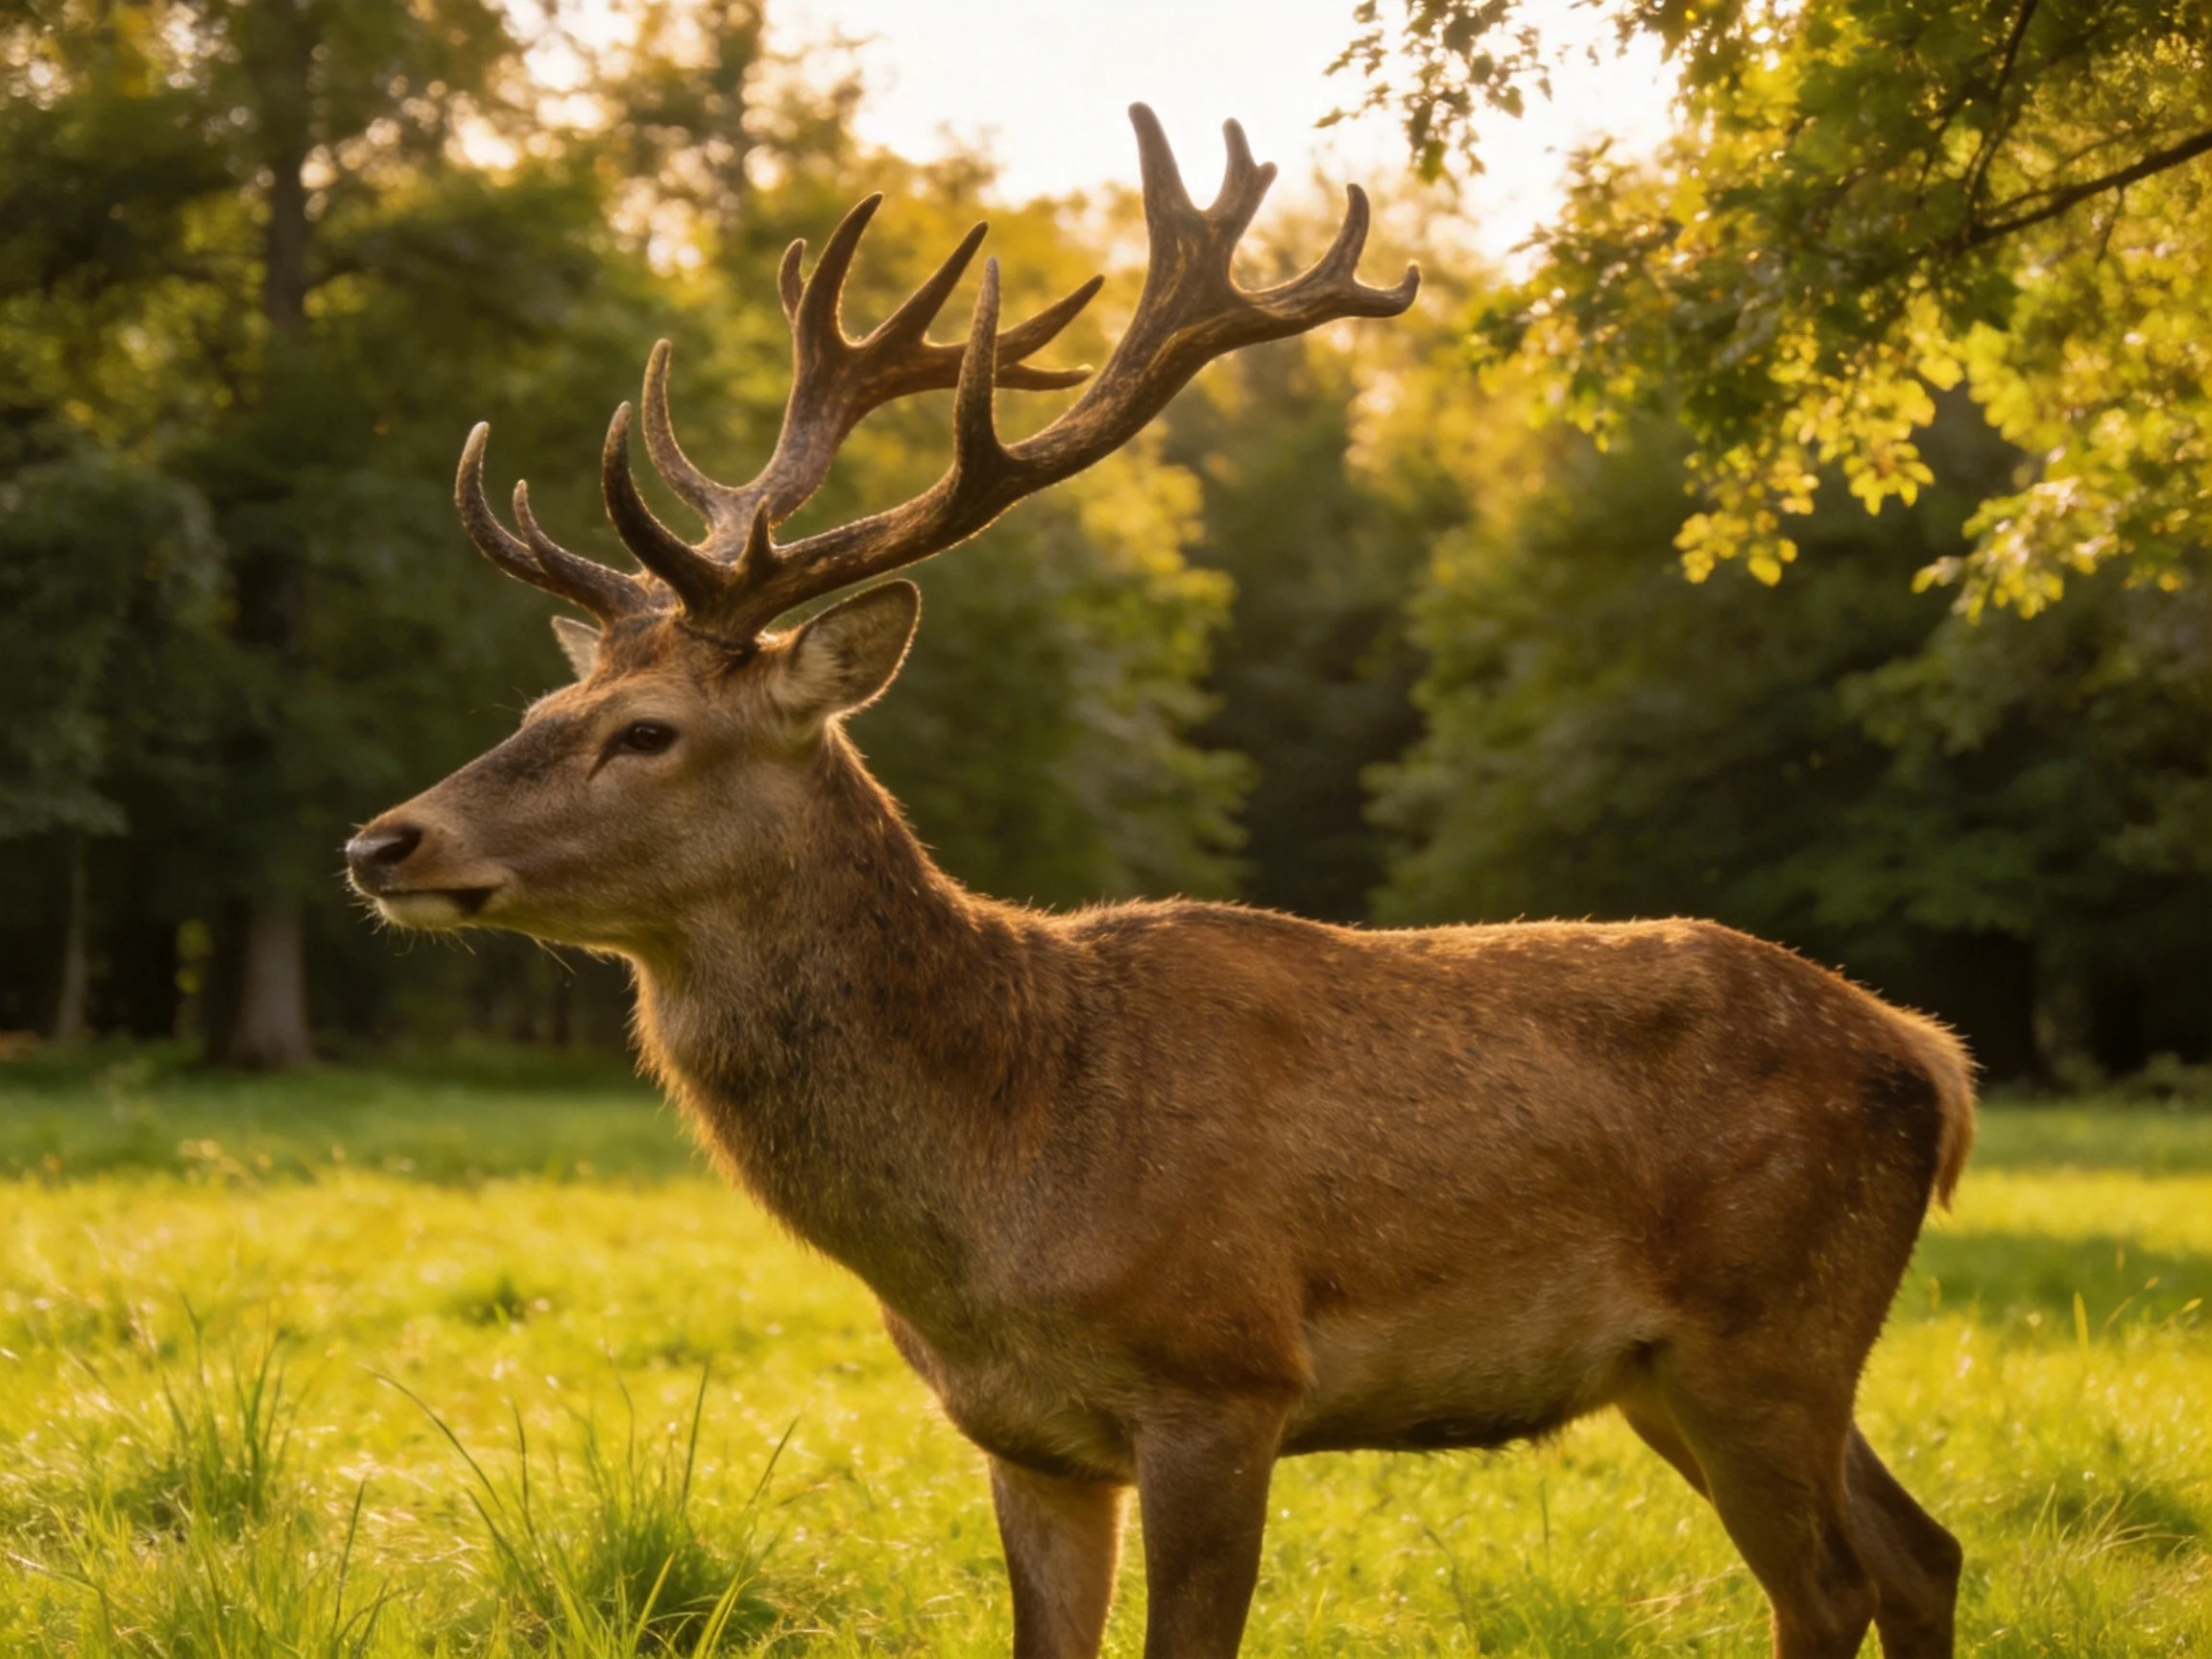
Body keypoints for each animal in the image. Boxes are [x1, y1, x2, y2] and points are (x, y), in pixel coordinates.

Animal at [346, 106, 1977, 1659]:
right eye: (536, 708)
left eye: (645, 730)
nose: (382, 843)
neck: (1003, 1186)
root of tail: (1934, 1059)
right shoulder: (1024, 1437)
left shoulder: (1225, 1380)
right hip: (1682, 1370)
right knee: (1925, 1552)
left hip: (1767, 1330)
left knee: (1829, 1585)